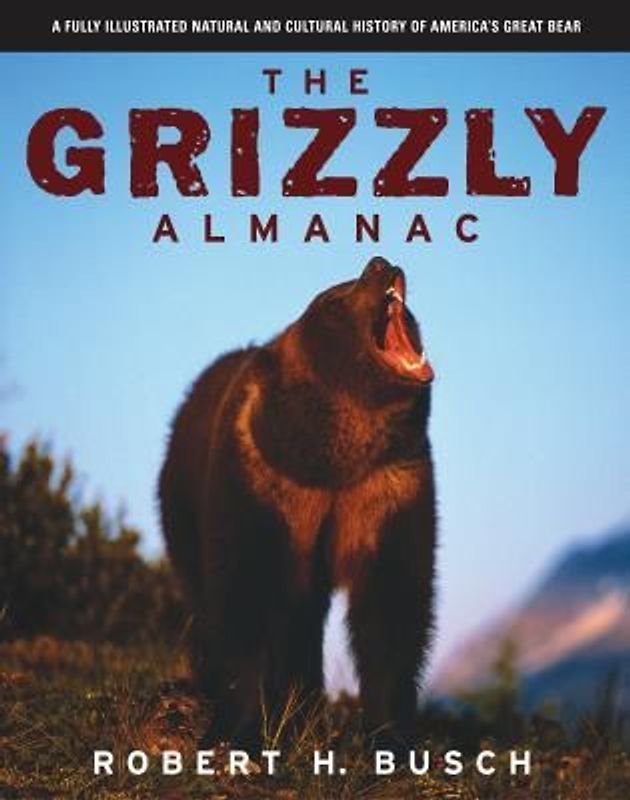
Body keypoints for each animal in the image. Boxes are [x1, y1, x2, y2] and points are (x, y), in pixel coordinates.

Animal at [158, 256, 437, 751]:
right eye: (333, 301)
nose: (379, 262)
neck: (332, 461)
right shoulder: (260, 482)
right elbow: (244, 596)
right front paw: (240, 727)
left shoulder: (387, 488)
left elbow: (392, 601)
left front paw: (389, 733)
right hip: (181, 504)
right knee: (207, 599)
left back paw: (306, 704)